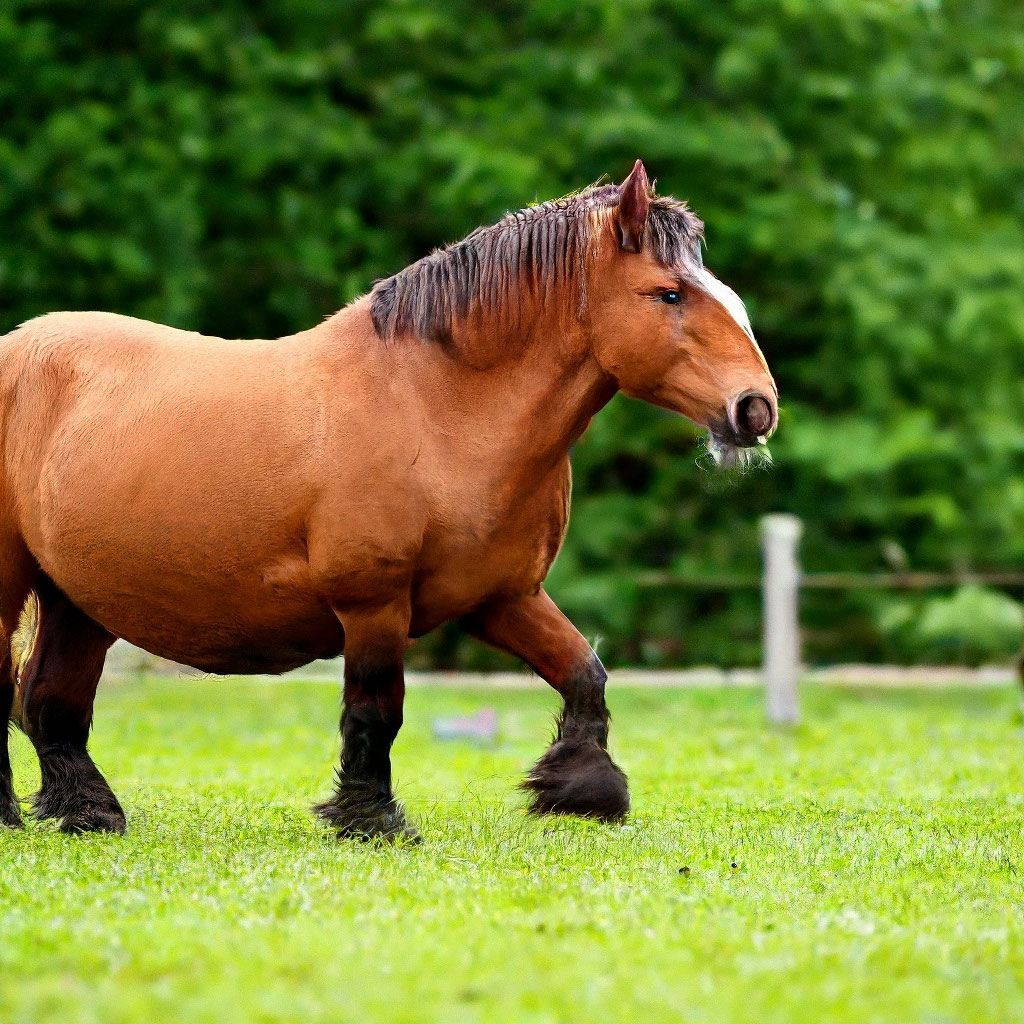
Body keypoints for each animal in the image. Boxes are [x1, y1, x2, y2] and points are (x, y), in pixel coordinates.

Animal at [0, 157, 774, 831]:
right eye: (669, 293)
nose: (755, 408)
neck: (436, 408)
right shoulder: (373, 603)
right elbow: (376, 711)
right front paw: (371, 820)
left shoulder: (503, 598)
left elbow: (585, 672)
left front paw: (584, 790)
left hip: (80, 598)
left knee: (49, 702)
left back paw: (88, 811)